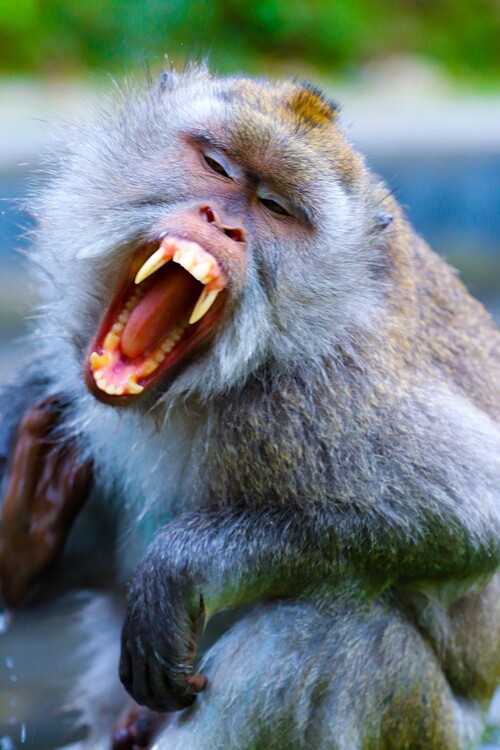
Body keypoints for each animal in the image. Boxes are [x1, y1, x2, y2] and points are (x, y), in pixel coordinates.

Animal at [0, 64, 499, 750]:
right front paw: (27, 532)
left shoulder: (327, 403)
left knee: (334, 631)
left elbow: (470, 515)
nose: (221, 222)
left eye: (275, 208)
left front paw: (183, 568)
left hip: (428, 725)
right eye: (217, 165)